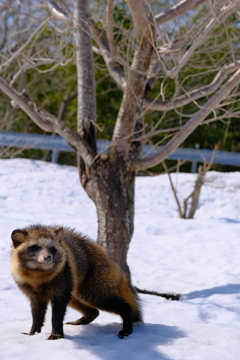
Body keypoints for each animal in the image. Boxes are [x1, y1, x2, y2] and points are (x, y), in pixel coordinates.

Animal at [10, 225, 142, 340]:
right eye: (35, 247)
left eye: (52, 248)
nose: (48, 257)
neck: (39, 276)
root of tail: (110, 258)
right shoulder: (35, 296)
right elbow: (37, 318)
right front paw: (33, 334)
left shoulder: (60, 295)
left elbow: (56, 318)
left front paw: (56, 335)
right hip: (75, 295)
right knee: (94, 312)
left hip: (93, 294)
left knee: (125, 306)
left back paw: (127, 330)